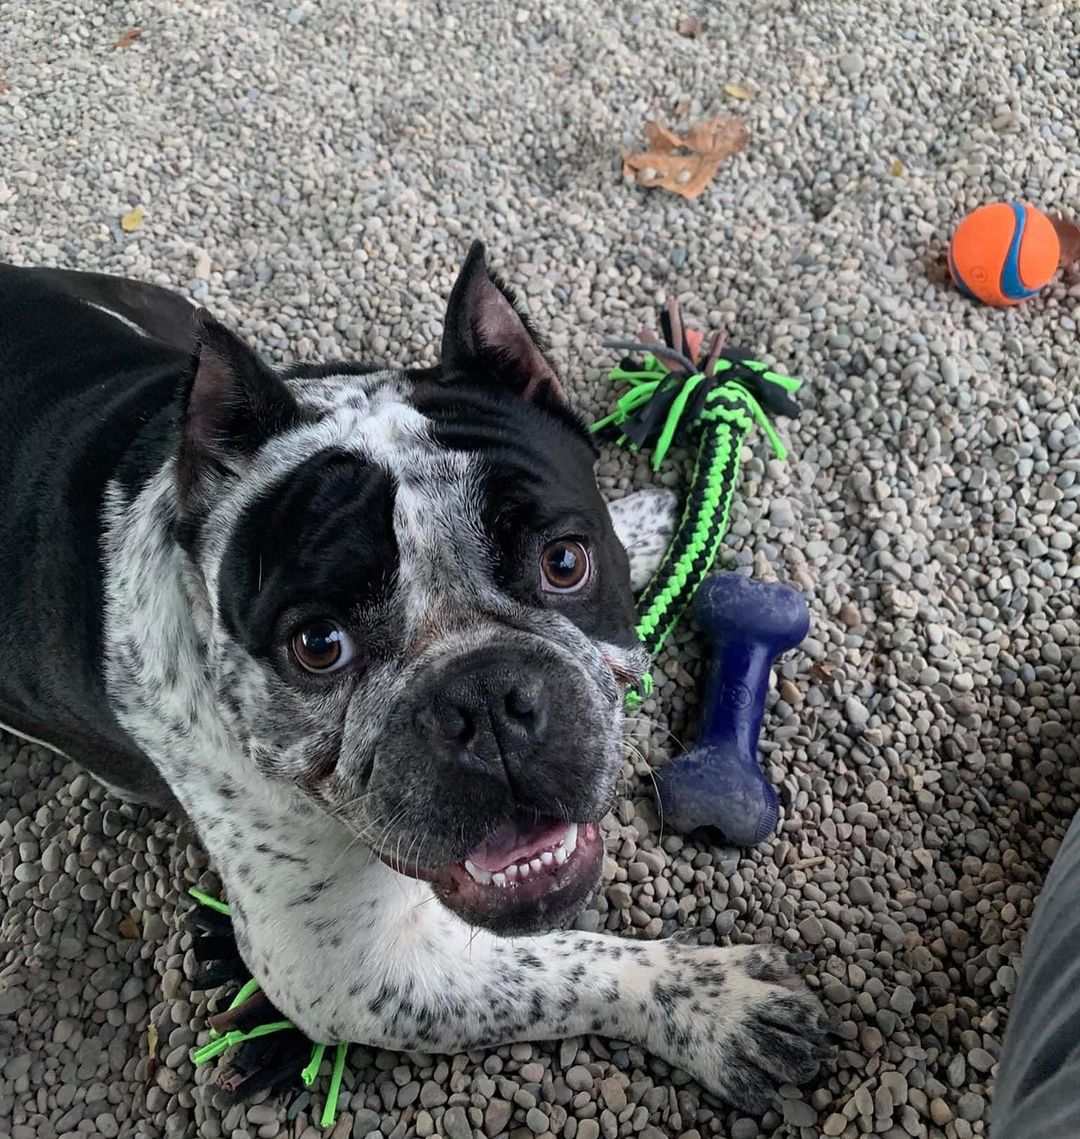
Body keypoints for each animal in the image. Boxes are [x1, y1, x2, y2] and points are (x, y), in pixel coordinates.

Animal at [0, 244, 824, 1107]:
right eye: (317, 644)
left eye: (565, 561)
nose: (486, 696)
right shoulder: (351, 971)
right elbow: (560, 965)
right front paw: (715, 1005)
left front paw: (647, 517)